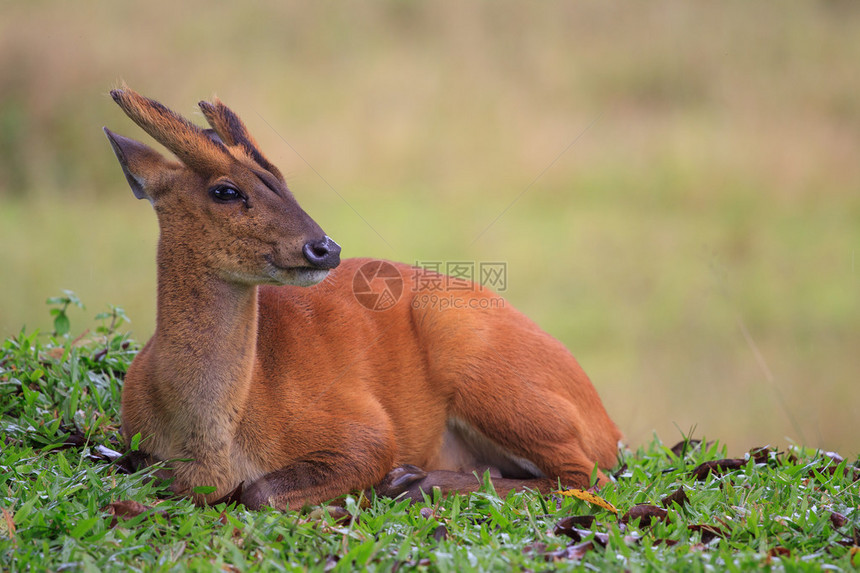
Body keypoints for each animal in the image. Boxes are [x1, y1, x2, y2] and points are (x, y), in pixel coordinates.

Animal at [104, 86, 620, 510]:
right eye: (226, 190)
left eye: (281, 179)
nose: (325, 247)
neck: (211, 448)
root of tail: (608, 426)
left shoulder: (364, 427)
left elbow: (260, 492)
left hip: (488, 371)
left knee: (586, 477)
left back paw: (413, 481)